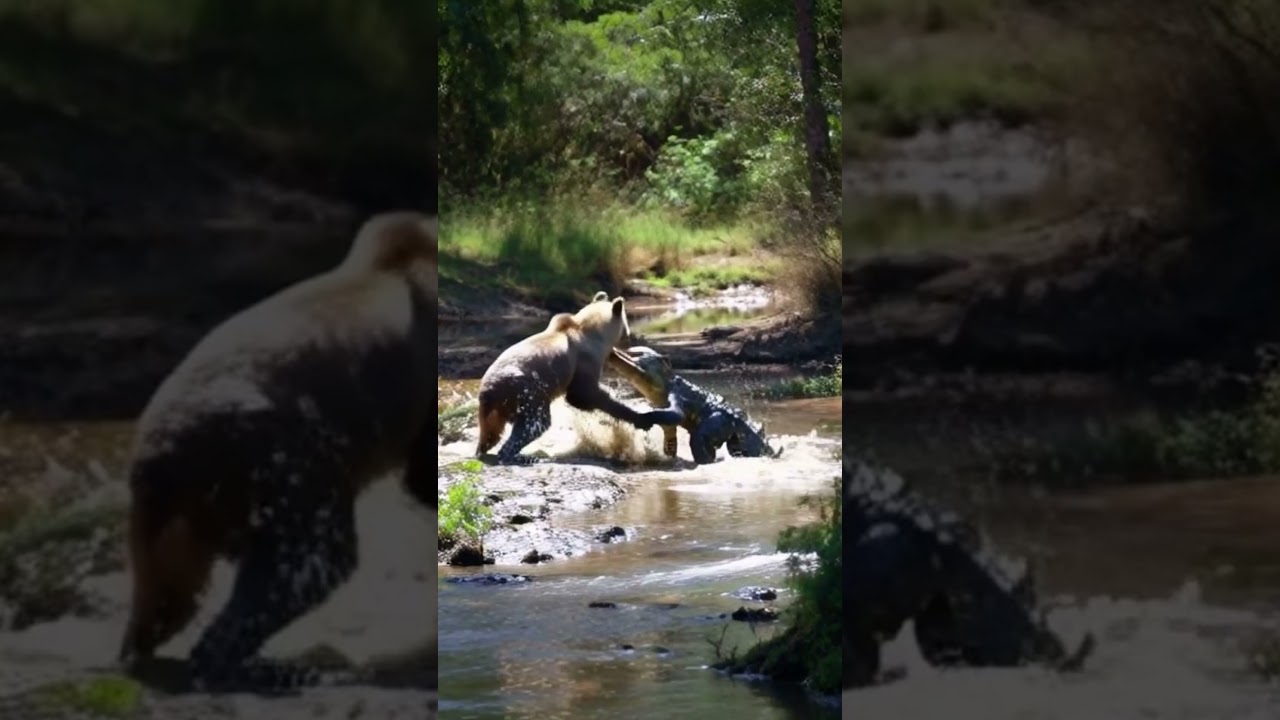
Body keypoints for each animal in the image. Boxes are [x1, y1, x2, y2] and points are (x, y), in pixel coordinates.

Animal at [117, 210, 439, 694]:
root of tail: (163, 455)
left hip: (176, 515)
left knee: (165, 592)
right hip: (278, 459)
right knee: (307, 563)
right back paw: (294, 668)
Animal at [474, 291, 680, 464]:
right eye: (627, 330)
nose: (631, 340)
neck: (593, 333)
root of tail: (489, 391)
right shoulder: (584, 360)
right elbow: (584, 394)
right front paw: (641, 417)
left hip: (495, 408)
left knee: (490, 433)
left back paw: (484, 449)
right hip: (526, 390)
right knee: (535, 423)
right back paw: (523, 456)